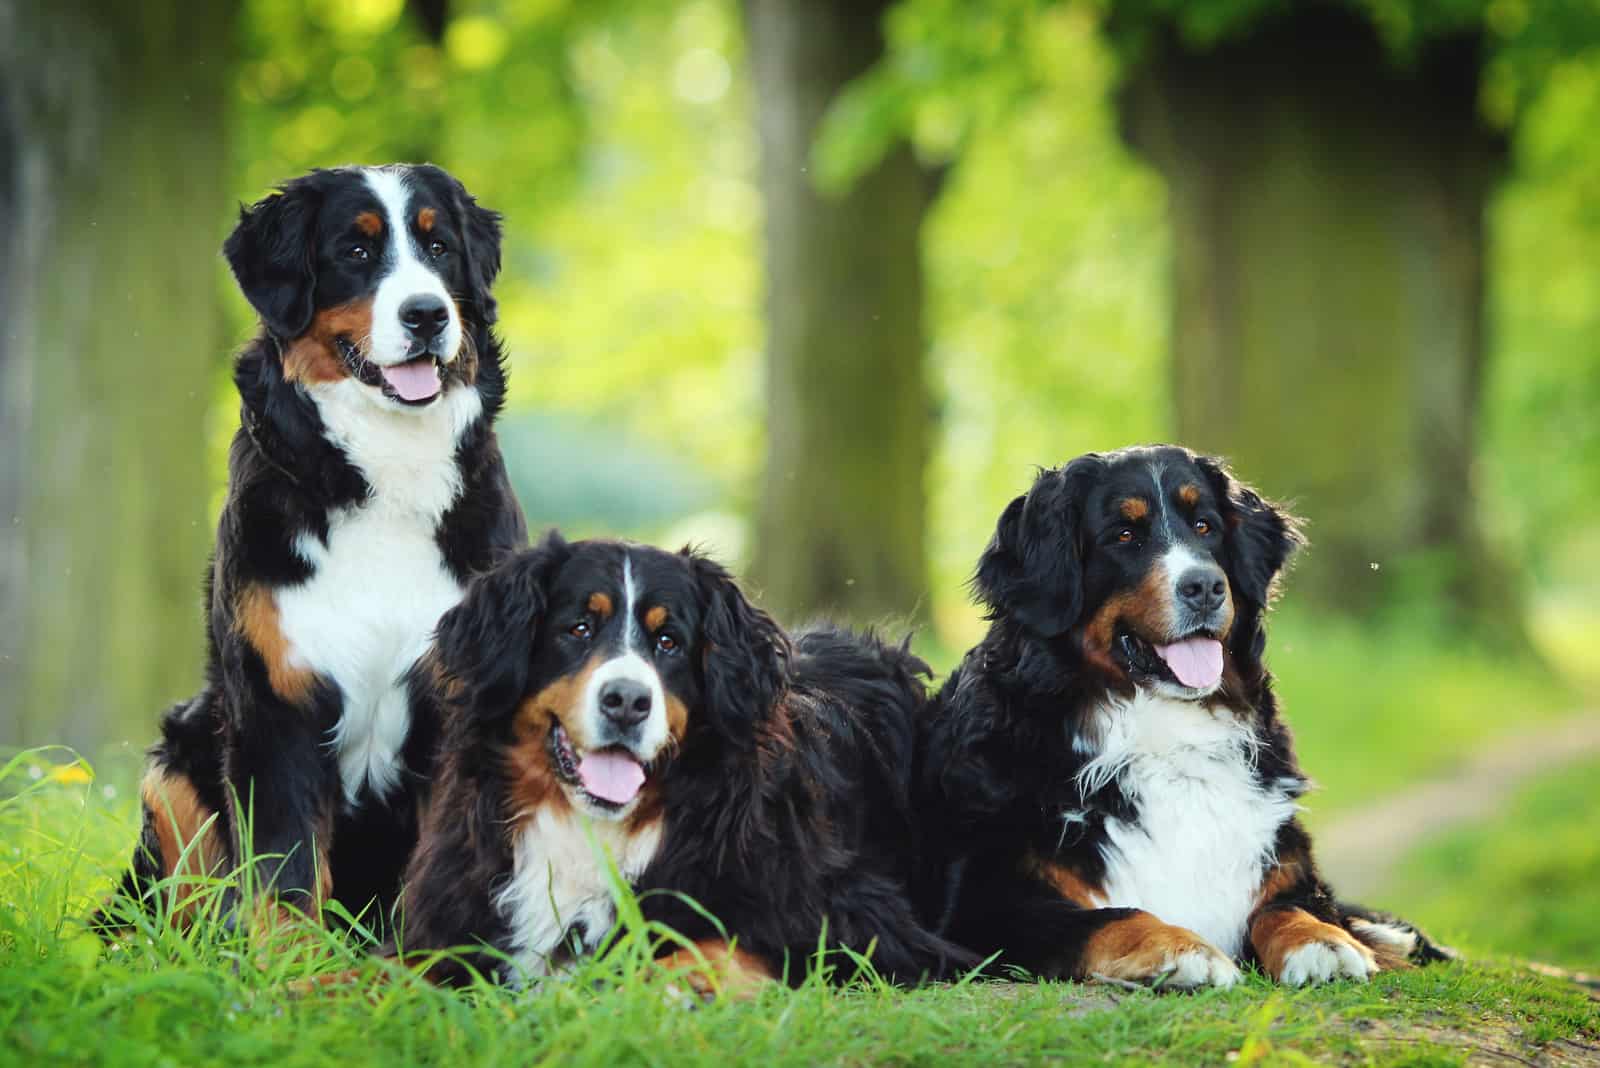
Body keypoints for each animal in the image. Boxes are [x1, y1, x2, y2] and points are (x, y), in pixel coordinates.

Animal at [100, 160, 524, 933]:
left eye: (439, 248)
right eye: (354, 252)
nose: (428, 314)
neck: (382, 478)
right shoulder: (276, 703)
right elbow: (285, 877)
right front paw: (290, 966)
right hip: (178, 761)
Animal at [400, 534, 972, 991]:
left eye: (668, 641)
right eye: (579, 628)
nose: (627, 701)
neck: (593, 830)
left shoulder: (864, 920)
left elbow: (711, 945)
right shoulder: (448, 920)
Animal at [915, 447, 1452, 991]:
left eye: (1204, 526)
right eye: (1123, 535)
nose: (1205, 586)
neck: (1163, 736)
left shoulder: (1278, 868)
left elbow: (1286, 908)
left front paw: (1322, 942)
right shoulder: (984, 906)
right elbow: (1111, 917)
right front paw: (1180, 949)